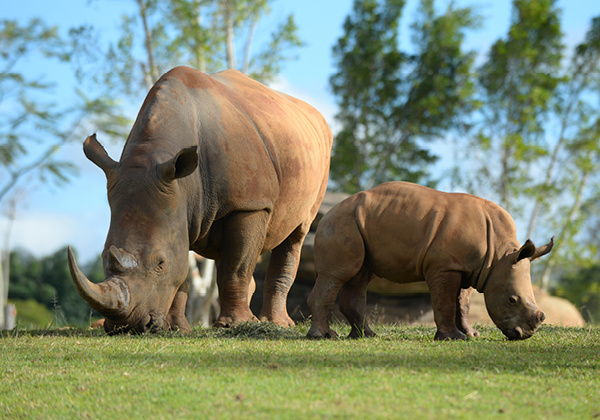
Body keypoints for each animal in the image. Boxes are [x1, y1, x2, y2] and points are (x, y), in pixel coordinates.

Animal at [71, 65, 336, 334]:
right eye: (104, 256)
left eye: (160, 263)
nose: (127, 327)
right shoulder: (179, 206)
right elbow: (184, 272)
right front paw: (177, 329)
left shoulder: (249, 205)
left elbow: (236, 268)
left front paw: (232, 325)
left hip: (319, 156)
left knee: (296, 234)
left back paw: (274, 323)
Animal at [310, 181, 552, 342]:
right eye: (512, 300)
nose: (524, 335)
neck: (499, 255)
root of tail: (327, 211)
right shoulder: (445, 266)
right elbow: (446, 301)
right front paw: (452, 338)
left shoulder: (470, 267)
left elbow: (462, 304)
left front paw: (471, 334)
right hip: (341, 221)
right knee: (338, 274)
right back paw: (325, 336)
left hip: (358, 221)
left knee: (360, 276)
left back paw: (366, 336)